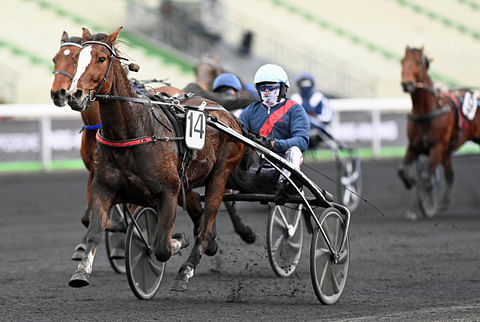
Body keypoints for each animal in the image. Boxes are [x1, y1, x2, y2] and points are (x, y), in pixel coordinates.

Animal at [64, 27, 244, 290]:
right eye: (78, 59)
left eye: (101, 59)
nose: (74, 94)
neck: (133, 131)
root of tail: (224, 113)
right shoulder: (103, 187)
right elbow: (95, 229)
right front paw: (81, 272)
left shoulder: (168, 192)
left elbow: (162, 247)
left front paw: (177, 240)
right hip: (186, 184)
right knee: (201, 219)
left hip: (220, 174)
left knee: (206, 222)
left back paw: (186, 270)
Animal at [398, 44, 480, 216]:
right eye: (402, 61)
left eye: (418, 62)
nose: (406, 84)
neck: (428, 111)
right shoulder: (414, 147)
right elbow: (402, 170)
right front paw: (411, 183)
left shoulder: (437, 147)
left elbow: (426, 176)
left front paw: (425, 205)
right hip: (447, 153)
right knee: (450, 175)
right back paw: (444, 203)